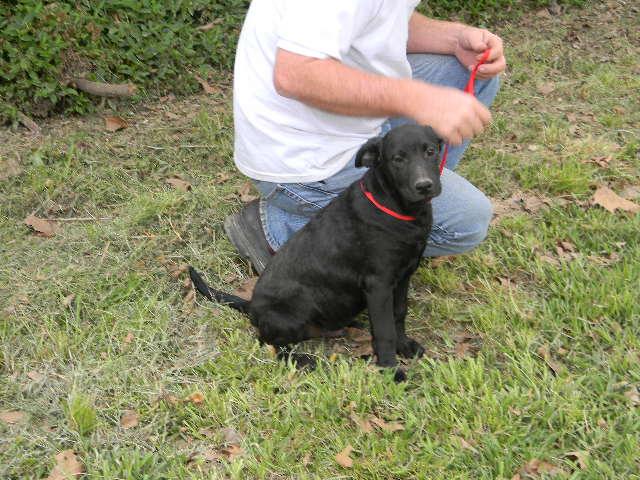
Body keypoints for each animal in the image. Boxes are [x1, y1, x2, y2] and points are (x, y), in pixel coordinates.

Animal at [188, 125, 442, 380]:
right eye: (398, 159)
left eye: (430, 151)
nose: (424, 186)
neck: (398, 210)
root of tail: (251, 307)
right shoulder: (378, 284)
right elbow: (384, 330)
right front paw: (391, 370)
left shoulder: (403, 274)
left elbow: (398, 313)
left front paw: (404, 346)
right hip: (292, 312)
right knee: (269, 343)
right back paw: (301, 359)